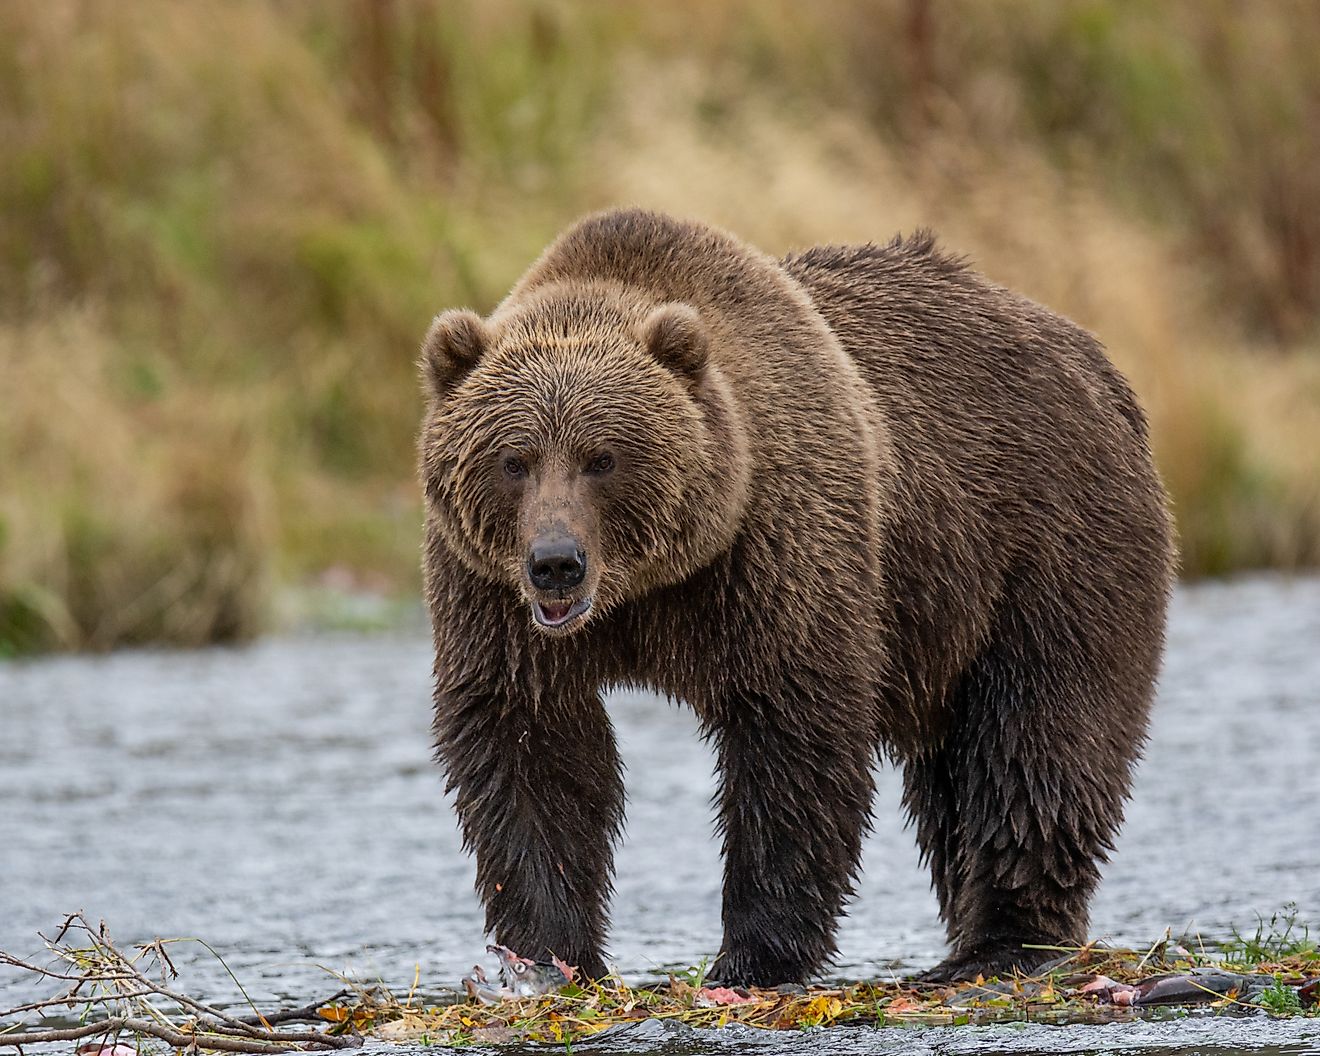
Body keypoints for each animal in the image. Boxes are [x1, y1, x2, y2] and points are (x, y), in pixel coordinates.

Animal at [417, 207, 1174, 986]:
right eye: (514, 459)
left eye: (603, 458)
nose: (556, 564)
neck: (647, 591)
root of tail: (1091, 357)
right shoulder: (492, 597)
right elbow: (531, 744)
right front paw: (548, 957)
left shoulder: (775, 550)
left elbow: (792, 731)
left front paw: (751, 956)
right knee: (953, 773)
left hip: (1046, 542)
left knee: (1038, 735)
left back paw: (1004, 942)